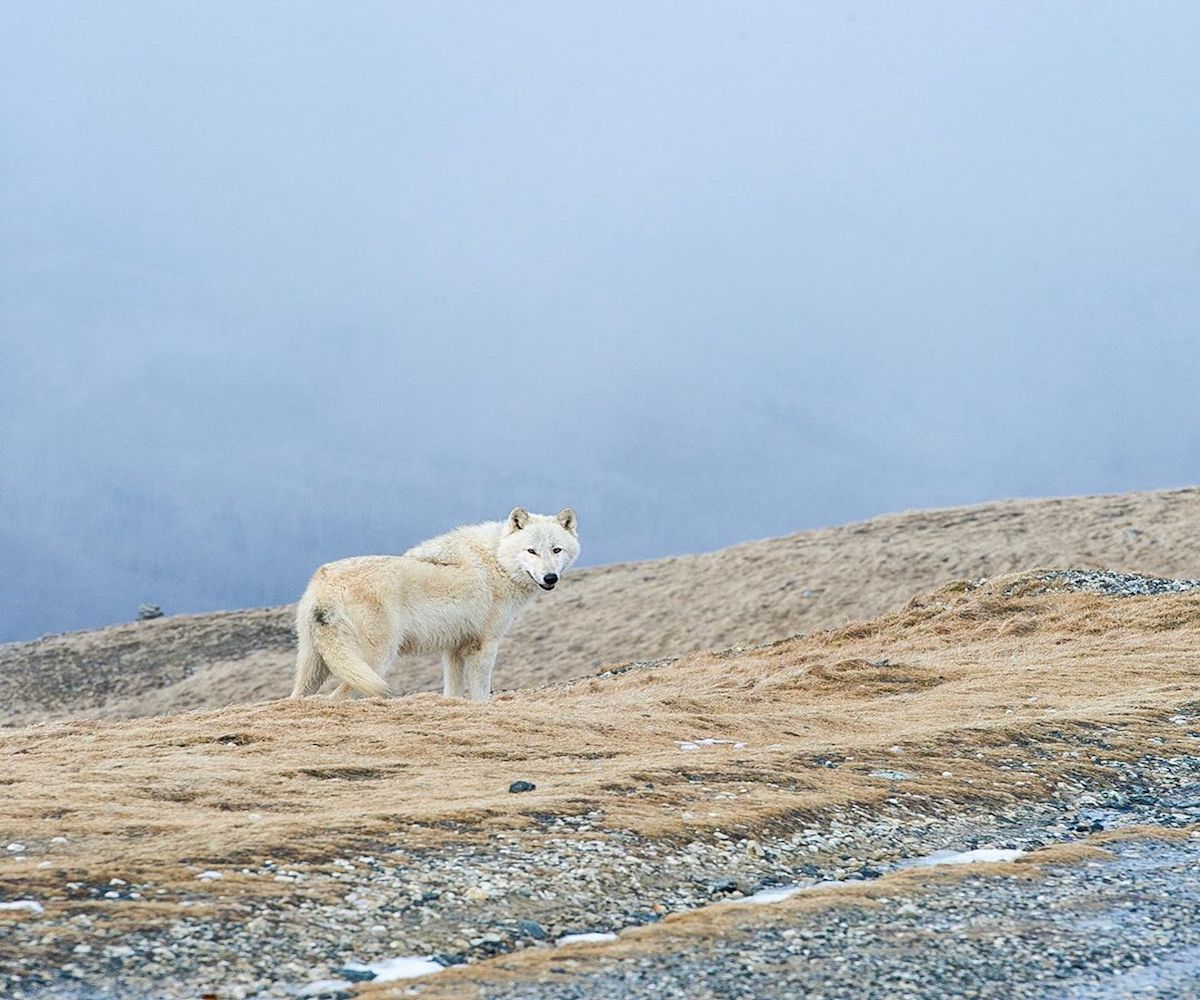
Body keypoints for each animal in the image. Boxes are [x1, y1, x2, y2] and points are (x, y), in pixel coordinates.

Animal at [285, 511, 576, 696]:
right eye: (531, 551)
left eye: (556, 550)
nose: (550, 577)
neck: (497, 562)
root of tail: (325, 585)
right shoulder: (485, 646)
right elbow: (481, 695)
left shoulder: (453, 650)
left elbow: (453, 693)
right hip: (376, 663)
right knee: (338, 697)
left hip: (314, 666)